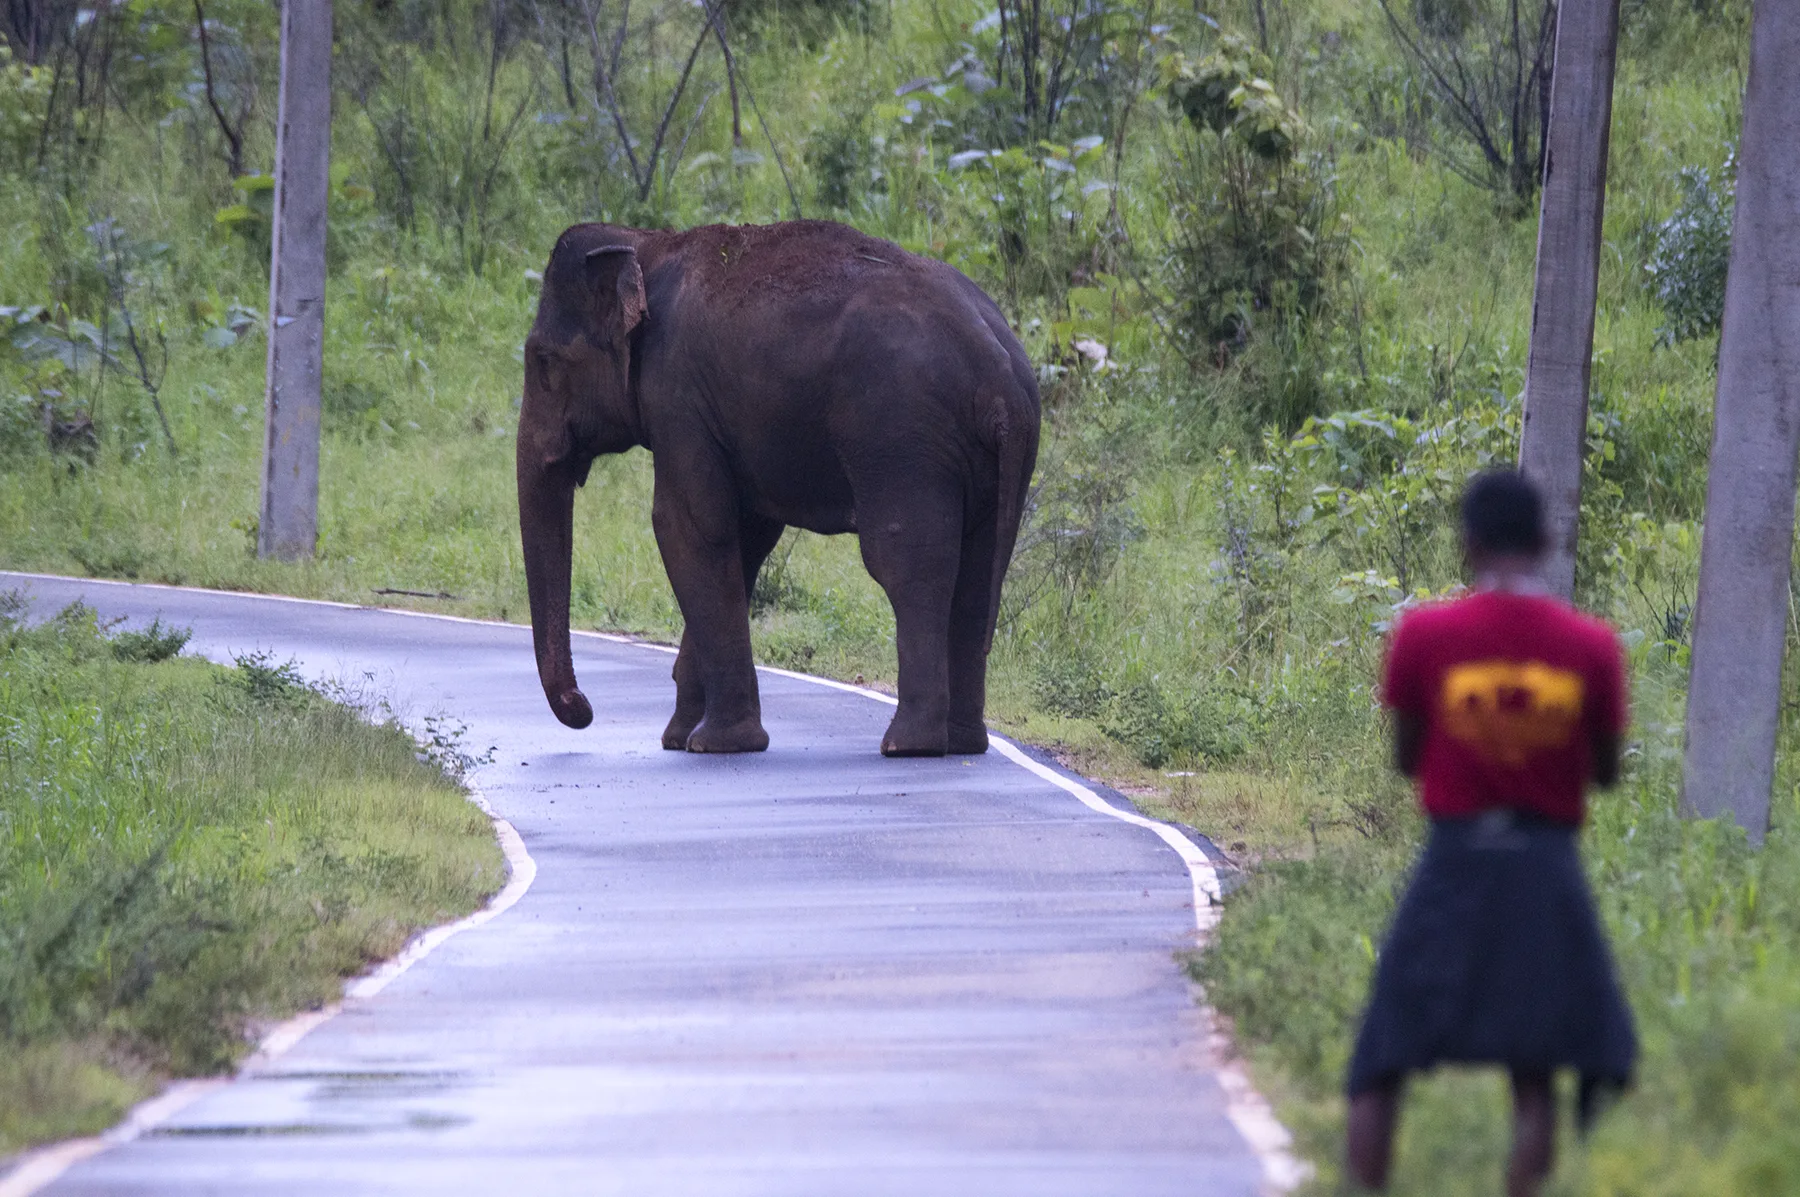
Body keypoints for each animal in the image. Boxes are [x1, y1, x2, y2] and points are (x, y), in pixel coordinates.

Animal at [517, 219, 1040, 757]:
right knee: (979, 572)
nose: (584, 709)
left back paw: (908, 745)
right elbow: (745, 539)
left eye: (542, 361)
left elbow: (688, 526)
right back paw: (963, 743)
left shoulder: (677, 394)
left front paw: (715, 744)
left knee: (908, 563)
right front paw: (681, 738)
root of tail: (1001, 376)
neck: (647, 243)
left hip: (901, 438)